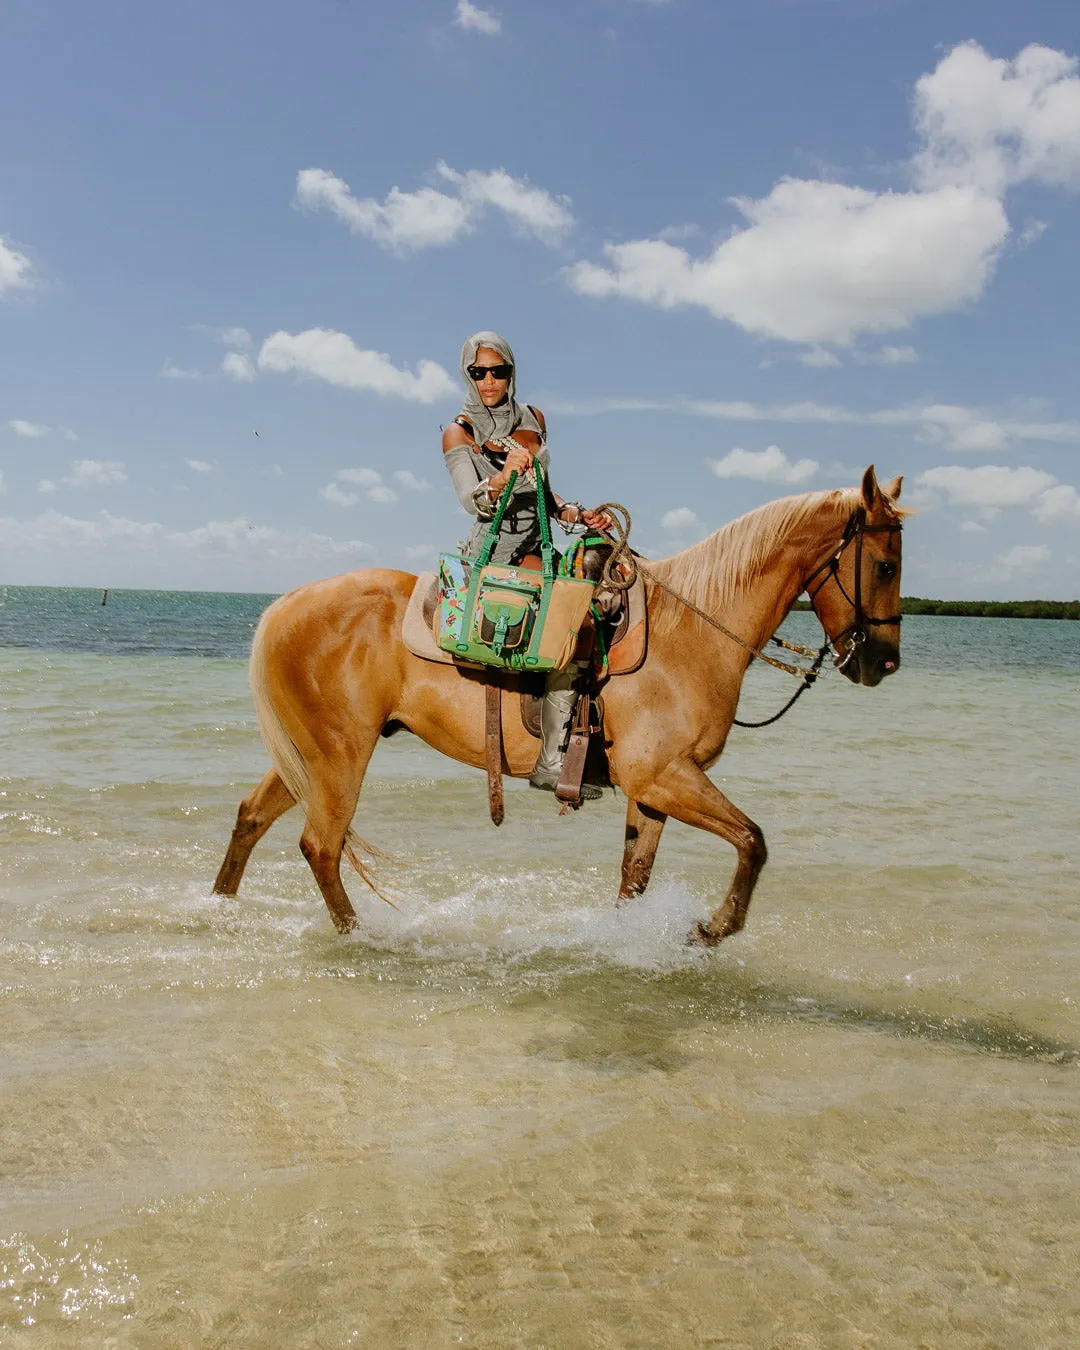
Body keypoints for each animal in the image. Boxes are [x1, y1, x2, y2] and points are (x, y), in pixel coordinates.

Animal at [210, 461, 901, 939]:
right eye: (887, 565)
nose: (883, 663)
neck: (692, 630)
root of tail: (286, 603)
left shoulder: (656, 789)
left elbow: (635, 878)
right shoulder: (662, 775)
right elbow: (753, 840)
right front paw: (714, 928)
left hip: (310, 754)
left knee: (252, 817)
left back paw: (219, 906)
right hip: (339, 754)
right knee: (321, 845)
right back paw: (360, 938)